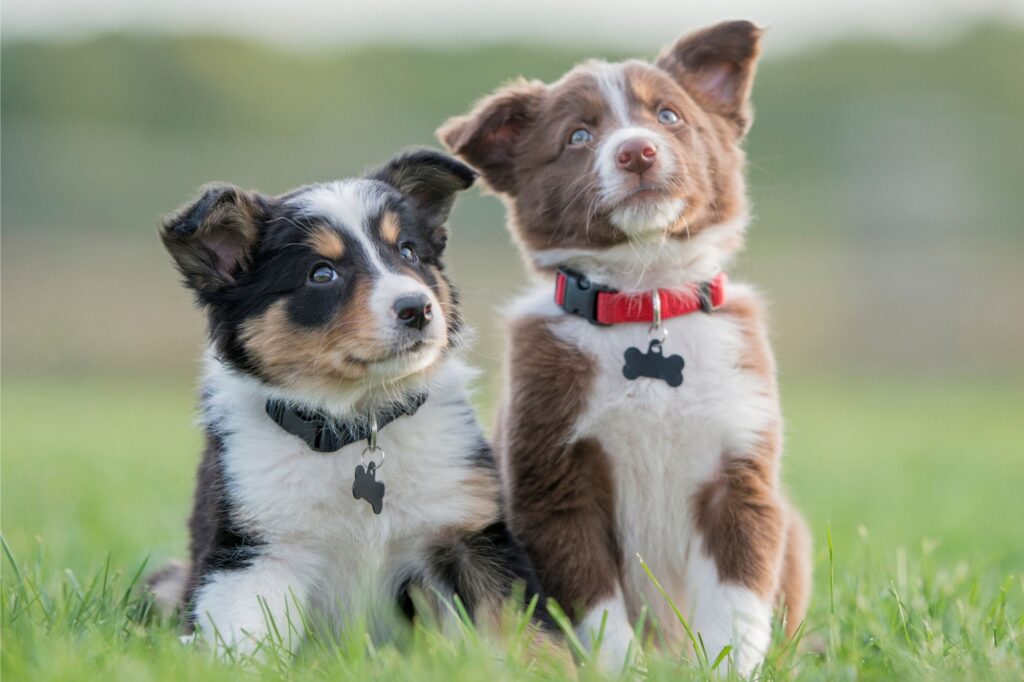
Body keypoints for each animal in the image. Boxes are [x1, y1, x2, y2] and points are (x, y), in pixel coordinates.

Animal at [438, 21, 806, 675]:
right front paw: (624, 669)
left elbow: (737, 603)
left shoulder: (740, 472)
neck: (644, 299)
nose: (637, 151)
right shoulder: (554, 484)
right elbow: (597, 610)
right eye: (578, 136)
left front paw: (727, 667)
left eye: (669, 116)